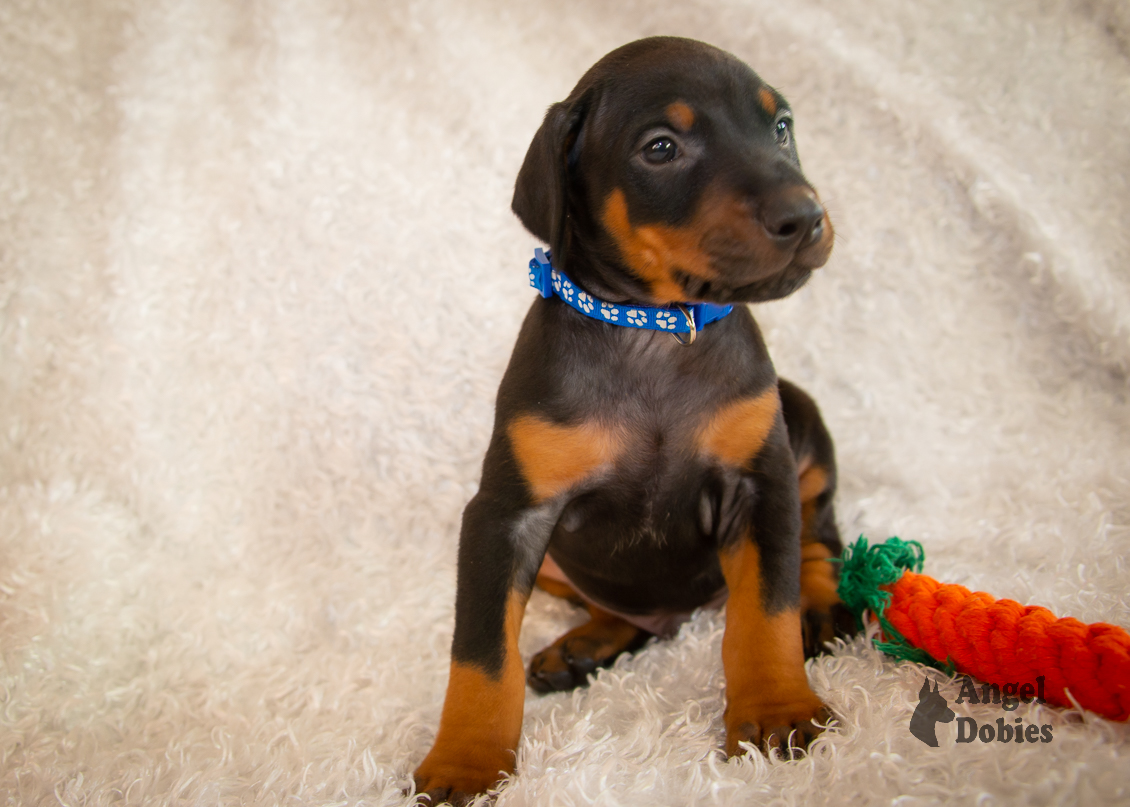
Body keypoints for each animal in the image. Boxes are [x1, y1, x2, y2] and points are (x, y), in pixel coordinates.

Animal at [413, 36, 849, 800]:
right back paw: (586, 643)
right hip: (558, 561)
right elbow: (481, 654)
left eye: (781, 126)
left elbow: (765, 612)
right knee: (614, 609)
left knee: (821, 534)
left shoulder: (760, 485)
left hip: (800, 421)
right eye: (661, 147)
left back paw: (819, 604)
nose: (805, 215)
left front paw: (777, 708)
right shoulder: (505, 516)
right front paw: (465, 760)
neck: (654, 331)